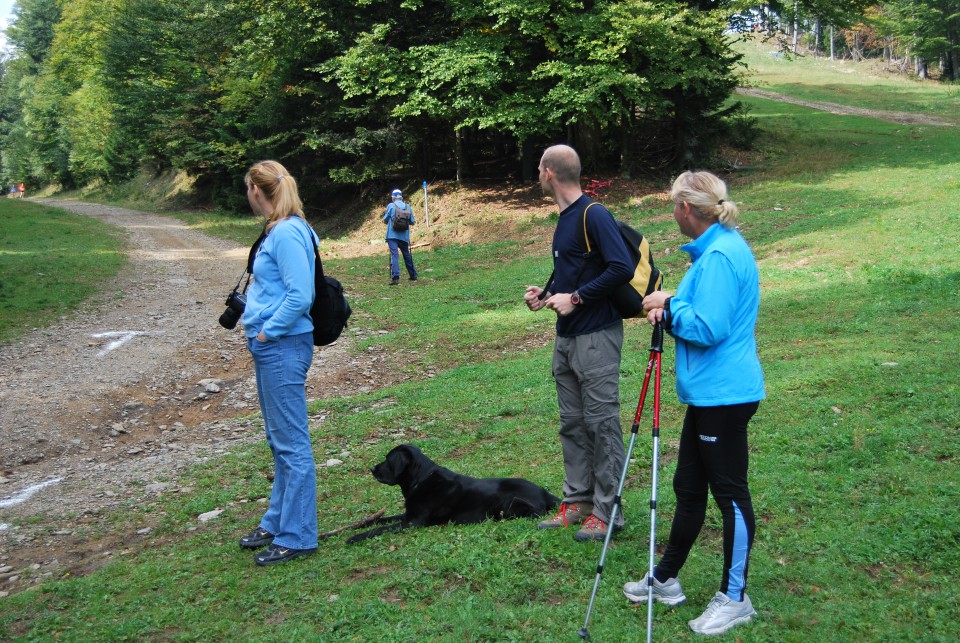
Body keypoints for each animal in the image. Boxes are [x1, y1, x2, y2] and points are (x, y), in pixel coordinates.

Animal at [344, 442, 560, 544]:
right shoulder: (408, 515)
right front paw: (356, 526)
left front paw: (355, 537)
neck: (421, 479)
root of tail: (544, 491)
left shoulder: (412, 523)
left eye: (388, 460)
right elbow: (380, 520)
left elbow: (381, 529)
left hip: (509, 503)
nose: (372, 469)